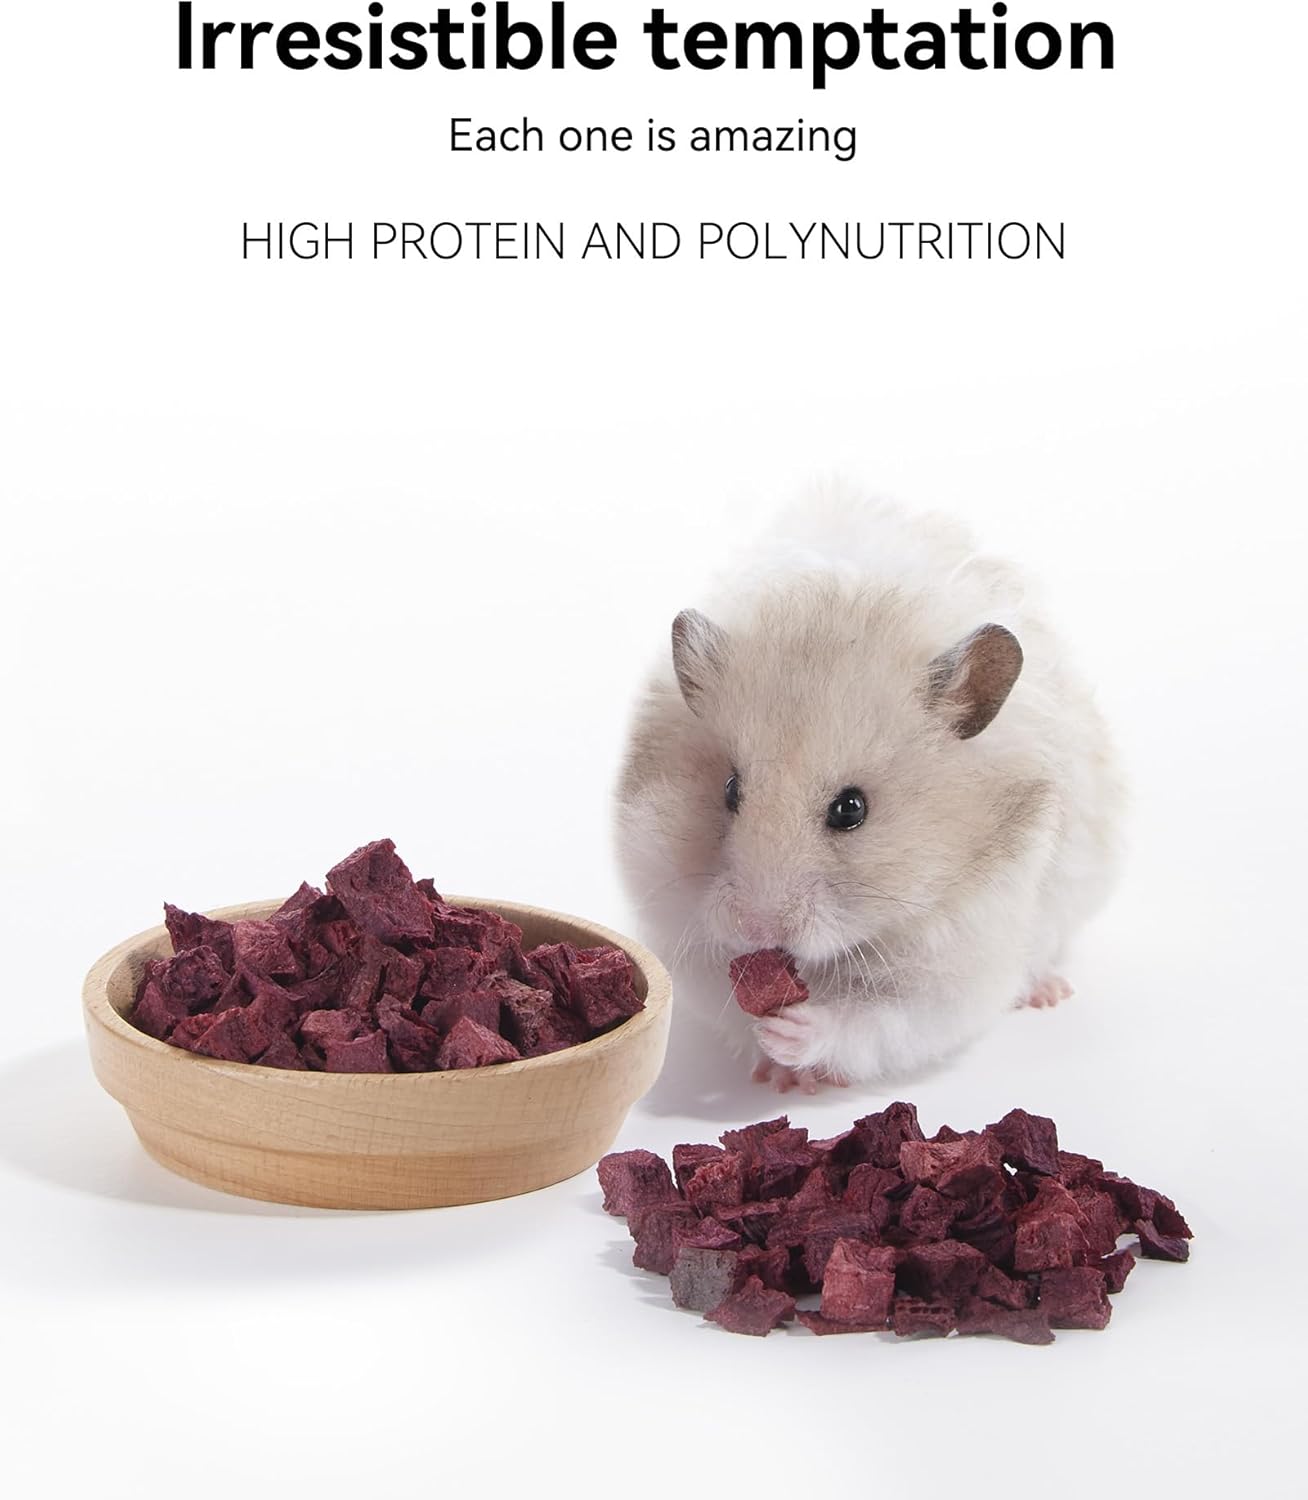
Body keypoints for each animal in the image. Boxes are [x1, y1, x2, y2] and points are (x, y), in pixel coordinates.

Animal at [614, 491, 1125, 1092]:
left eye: (851, 809)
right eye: (731, 789)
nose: (755, 927)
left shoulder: (963, 957)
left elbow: (880, 1020)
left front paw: (792, 1035)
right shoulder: (682, 931)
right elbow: (730, 1004)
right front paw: (781, 1073)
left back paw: (1049, 993)